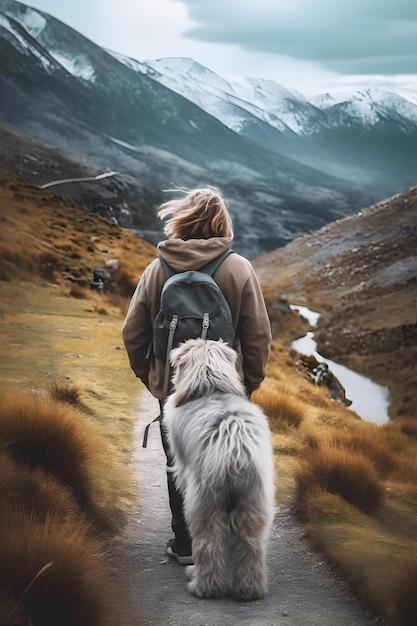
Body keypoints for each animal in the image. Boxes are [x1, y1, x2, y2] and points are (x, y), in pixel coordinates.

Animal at [163, 338, 276, 596]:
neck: (211, 389)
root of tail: (235, 454)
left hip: (205, 502)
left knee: (209, 545)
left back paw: (203, 585)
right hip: (253, 504)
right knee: (251, 546)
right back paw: (251, 589)